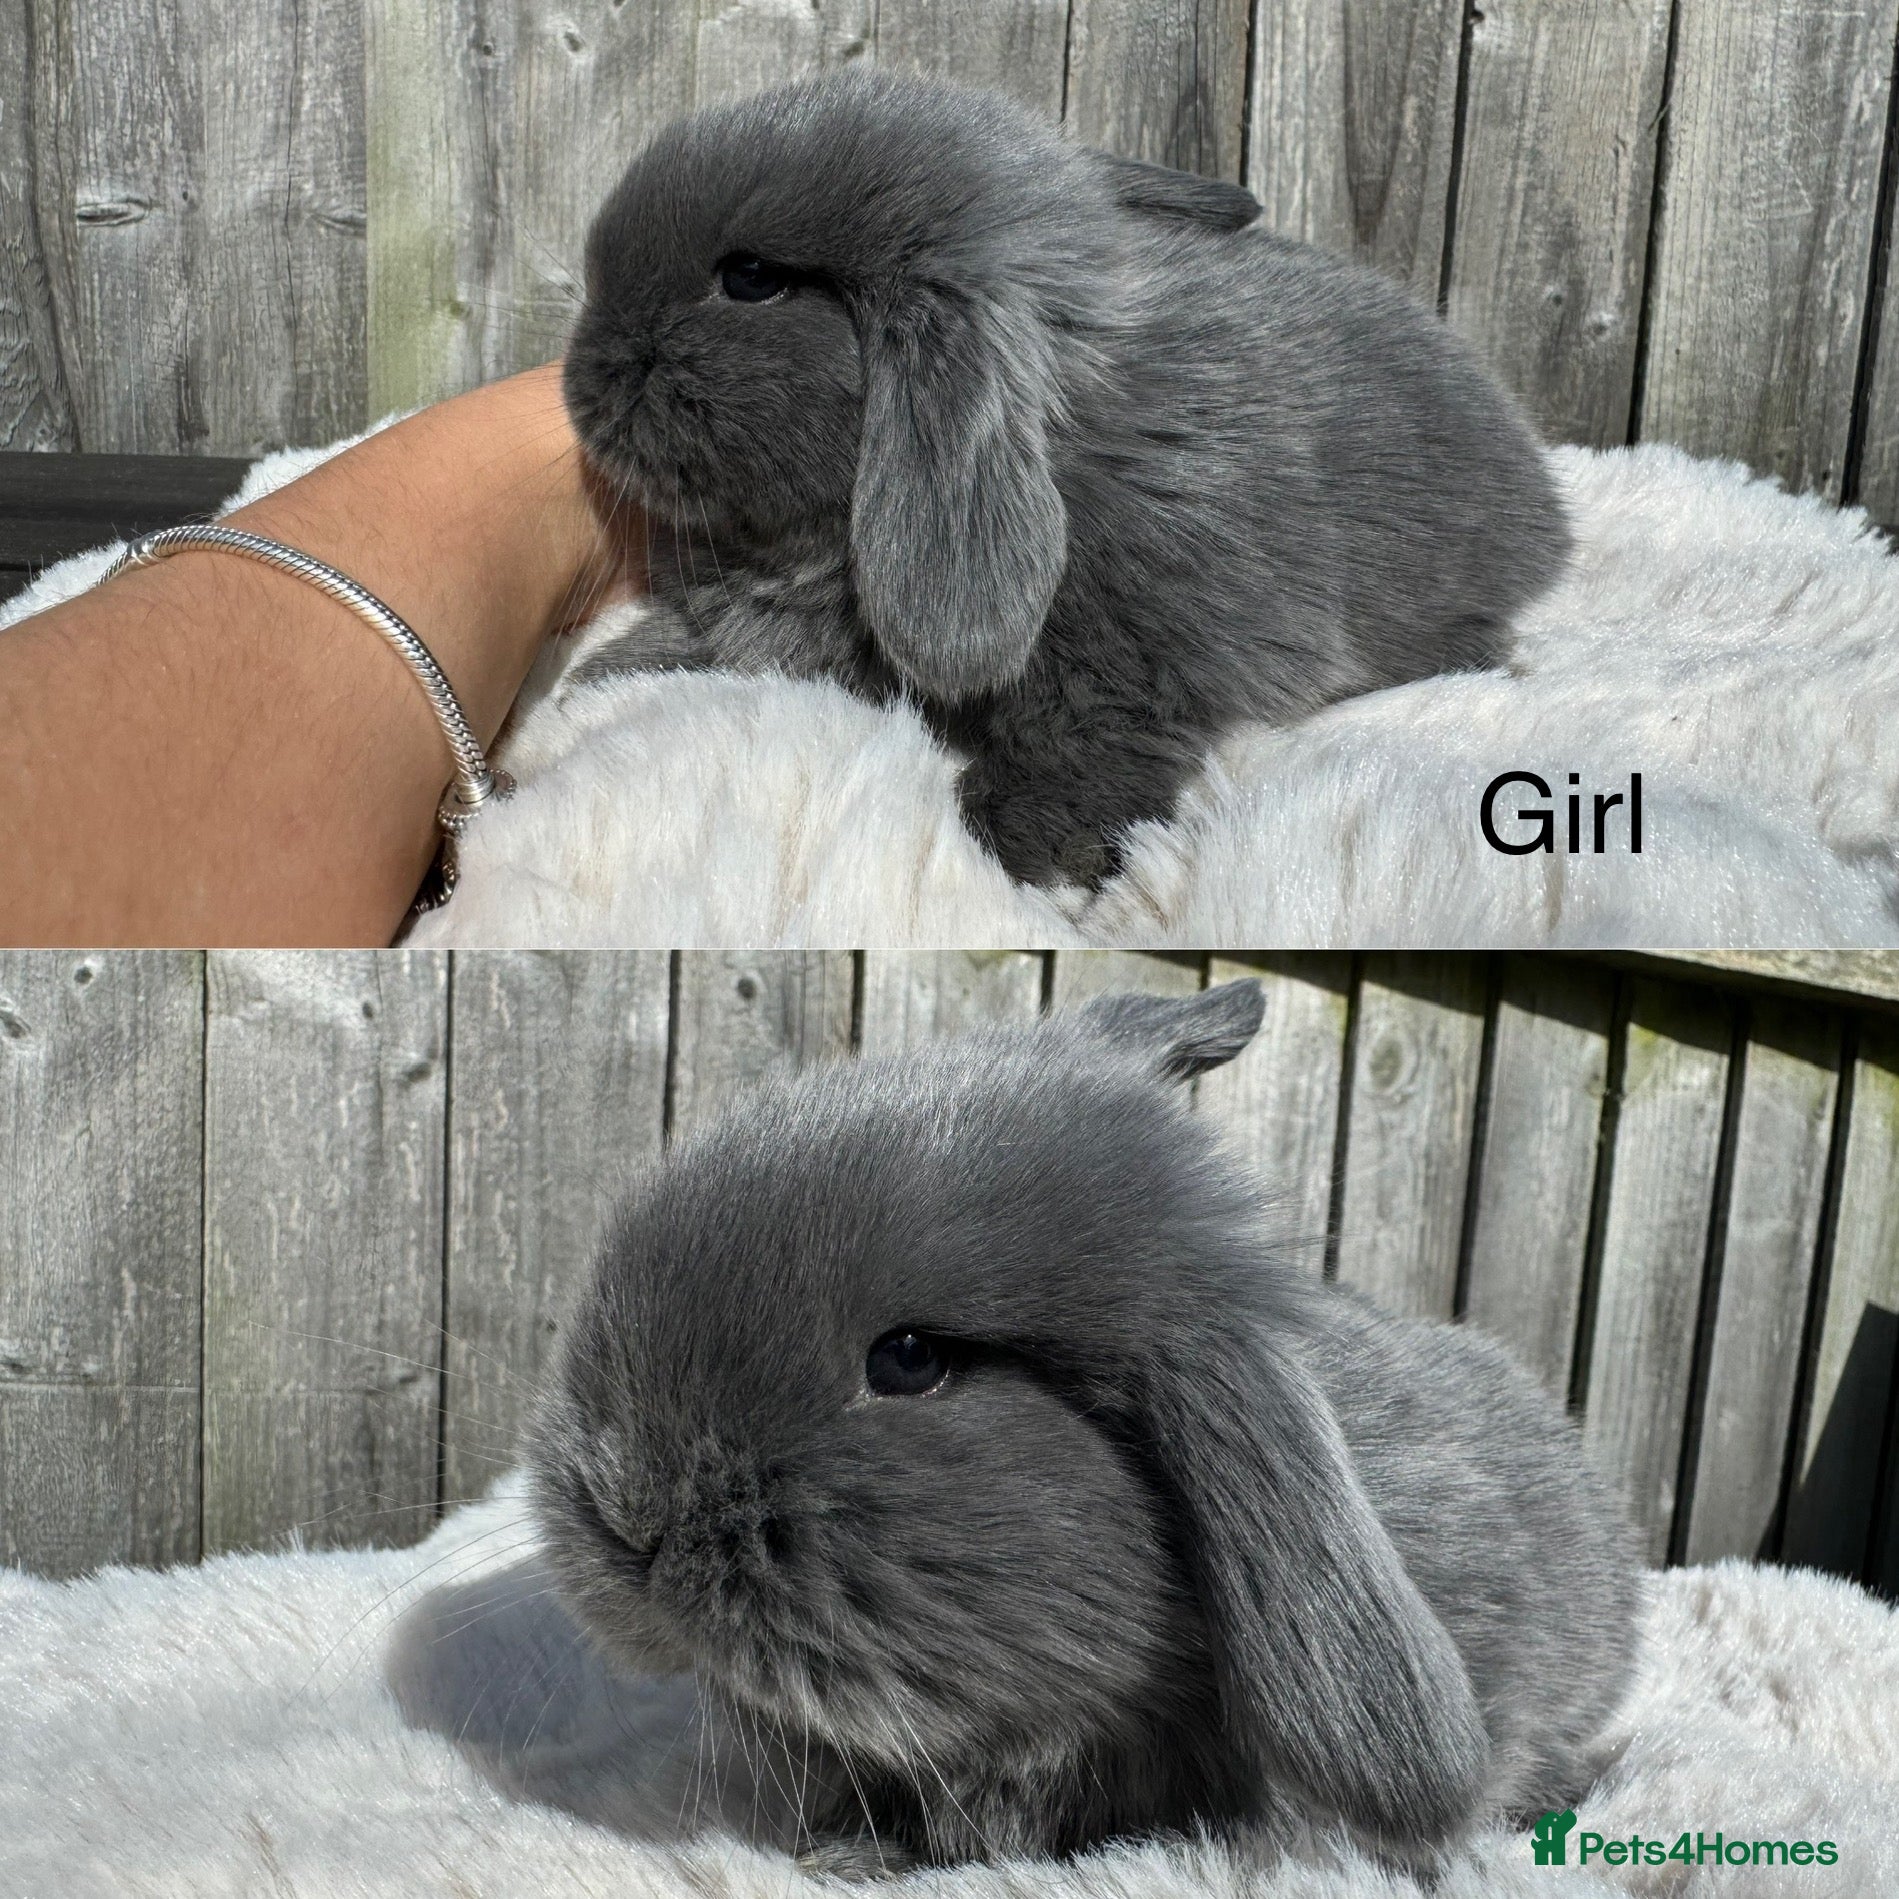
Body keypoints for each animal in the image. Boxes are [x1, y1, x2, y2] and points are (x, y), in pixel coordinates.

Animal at [561, 68, 1572, 890]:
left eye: (749, 277)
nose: (584, 384)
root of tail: (1540, 499)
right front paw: (597, 681)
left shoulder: (1140, 655)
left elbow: (1086, 733)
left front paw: (1038, 846)